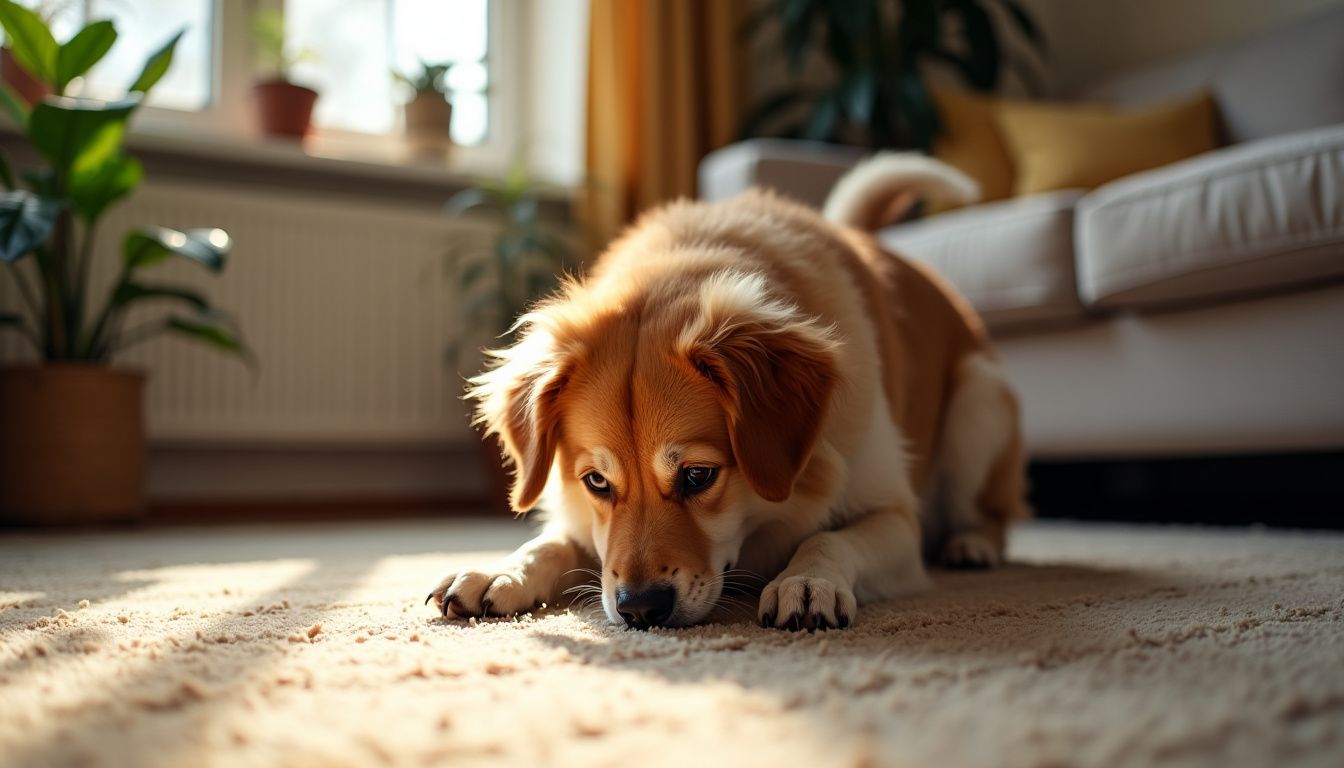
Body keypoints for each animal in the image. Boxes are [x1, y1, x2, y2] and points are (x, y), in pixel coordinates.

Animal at [427, 154, 1026, 632]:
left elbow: (829, 538)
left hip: (978, 407)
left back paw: (971, 545)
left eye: (698, 476)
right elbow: (551, 542)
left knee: (991, 510)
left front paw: (807, 581)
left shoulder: (895, 517)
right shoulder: (584, 522)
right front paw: (500, 570)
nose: (639, 609)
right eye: (596, 482)